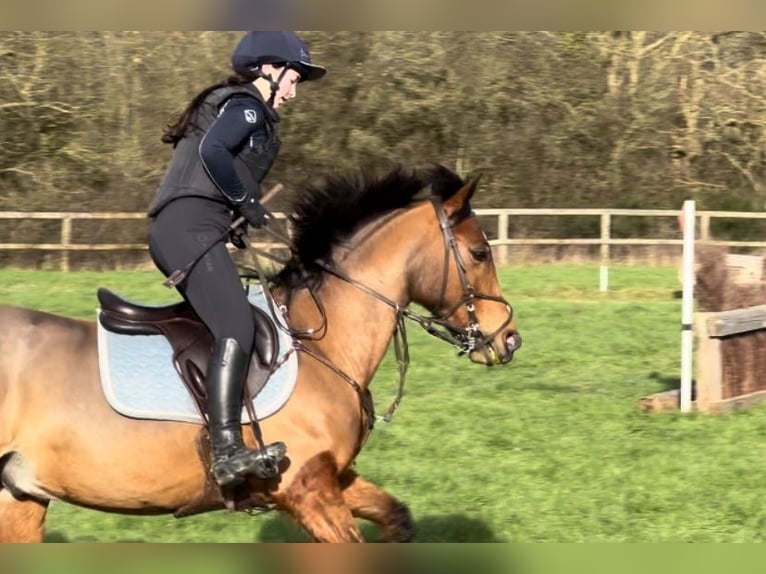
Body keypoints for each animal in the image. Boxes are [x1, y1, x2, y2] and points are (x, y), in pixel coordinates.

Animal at [0, 163, 520, 544]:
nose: (509, 338)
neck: (321, 346)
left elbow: (398, 518)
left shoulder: (337, 479)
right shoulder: (308, 490)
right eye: (478, 253)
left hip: (21, 497)